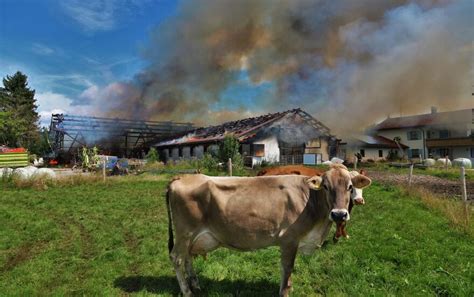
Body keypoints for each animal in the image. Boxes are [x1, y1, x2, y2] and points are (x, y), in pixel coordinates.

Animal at [166, 163, 370, 294]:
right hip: (185, 232)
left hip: (191, 237)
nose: (339, 215)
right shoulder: (289, 239)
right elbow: (287, 268)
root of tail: (181, 177)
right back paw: (187, 291)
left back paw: (196, 285)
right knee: (177, 258)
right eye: (326, 186)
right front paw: (285, 290)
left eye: (350, 187)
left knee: (188, 257)